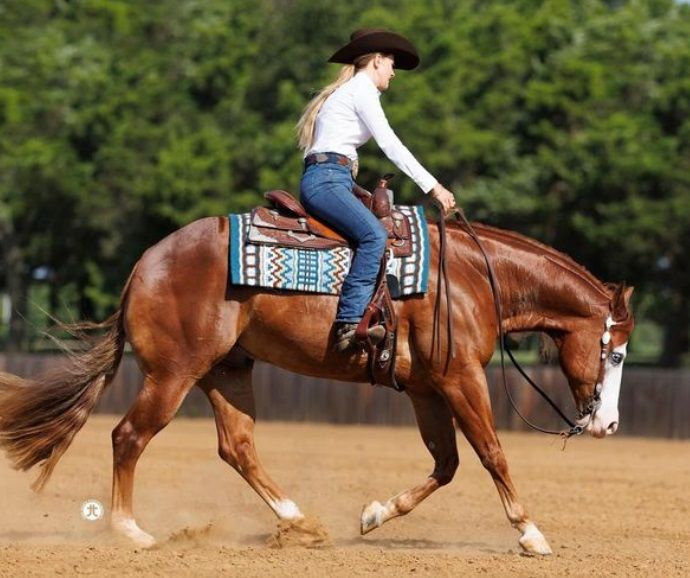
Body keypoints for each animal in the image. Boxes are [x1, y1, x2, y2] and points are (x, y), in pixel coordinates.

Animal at [0, 215, 632, 552]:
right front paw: (531, 534)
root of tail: (144, 265)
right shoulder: (460, 379)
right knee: (128, 436)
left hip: (227, 372)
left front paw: (374, 514)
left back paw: (299, 522)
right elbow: (493, 454)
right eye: (618, 353)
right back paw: (131, 530)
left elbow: (447, 464)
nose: (608, 423)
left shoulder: (427, 389)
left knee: (238, 446)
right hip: (173, 374)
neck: (473, 279)